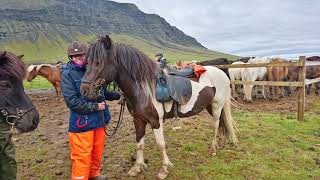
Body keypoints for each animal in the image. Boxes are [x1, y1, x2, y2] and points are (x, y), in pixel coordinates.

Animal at [81, 35, 239, 179]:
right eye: (87, 62)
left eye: (99, 62)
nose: (84, 90)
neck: (144, 88)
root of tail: (221, 72)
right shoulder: (138, 120)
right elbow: (139, 144)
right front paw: (137, 167)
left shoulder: (155, 121)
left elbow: (160, 144)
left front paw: (164, 169)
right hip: (210, 106)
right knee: (220, 124)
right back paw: (220, 144)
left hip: (217, 105)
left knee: (216, 124)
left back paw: (213, 149)